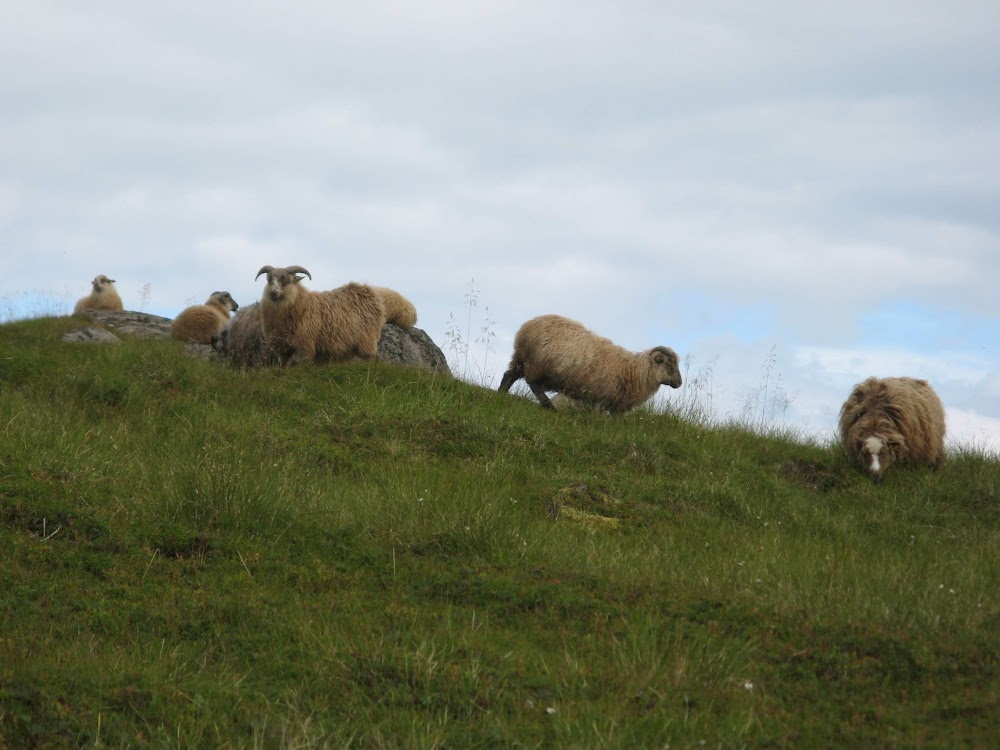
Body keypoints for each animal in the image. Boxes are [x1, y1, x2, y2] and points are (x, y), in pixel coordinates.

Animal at [254, 268, 386, 368]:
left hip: (367, 340)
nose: (273, 293)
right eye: (269, 280)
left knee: (371, 358)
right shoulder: (282, 349)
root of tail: (367, 291)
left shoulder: (304, 346)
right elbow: (284, 367)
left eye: (285, 280)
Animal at [498, 314, 684, 414]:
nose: (679, 383)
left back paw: (501, 393)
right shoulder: (602, 399)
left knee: (509, 375)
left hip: (521, 360)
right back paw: (548, 405)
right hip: (537, 364)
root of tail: (526, 328)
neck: (634, 371)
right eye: (669, 364)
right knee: (533, 384)